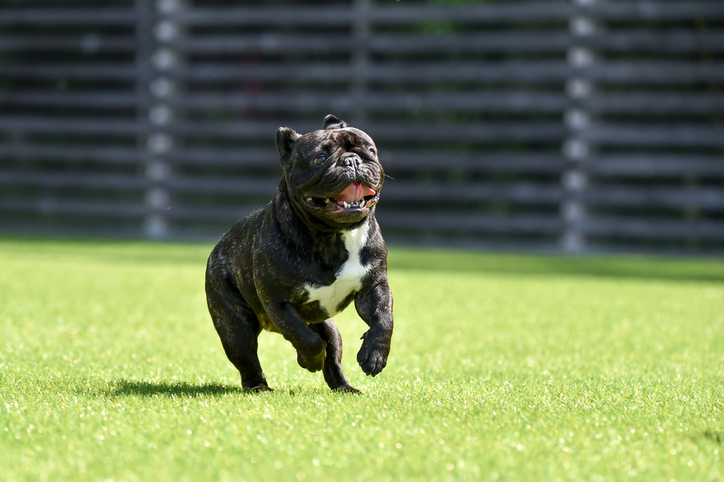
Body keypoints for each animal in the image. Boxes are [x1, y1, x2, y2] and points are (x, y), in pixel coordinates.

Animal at [204, 114, 396, 392]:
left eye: (370, 151)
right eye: (320, 159)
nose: (352, 160)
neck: (333, 234)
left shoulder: (374, 285)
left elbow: (384, 318)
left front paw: (374, 355)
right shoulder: (279, 302)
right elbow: (304, 338)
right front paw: (309, 360)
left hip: (328, 327)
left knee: (333, 352)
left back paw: (345, 388)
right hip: (235, 326)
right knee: (247, 356)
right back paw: (259, 387)